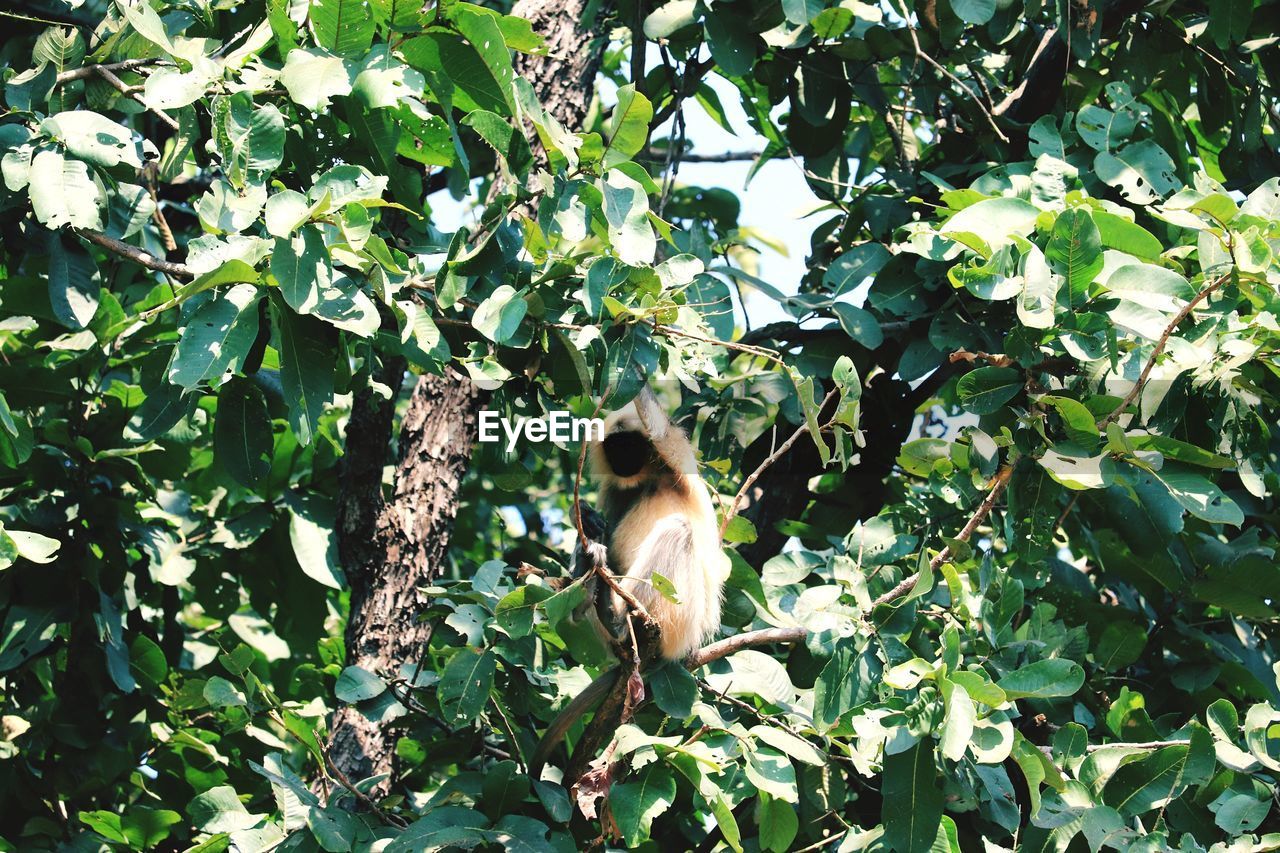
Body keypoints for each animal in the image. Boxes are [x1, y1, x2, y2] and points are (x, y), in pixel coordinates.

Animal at [529, 389, 732, 773]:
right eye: (615, 448)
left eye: (632, 447)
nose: (623, 460)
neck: (653, 475)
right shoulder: (617, 489)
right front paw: (585, 528)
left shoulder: (674, 449)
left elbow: (655, 421)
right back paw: (592, 590)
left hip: (680, 620)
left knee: (678, 530)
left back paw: (617, 620)